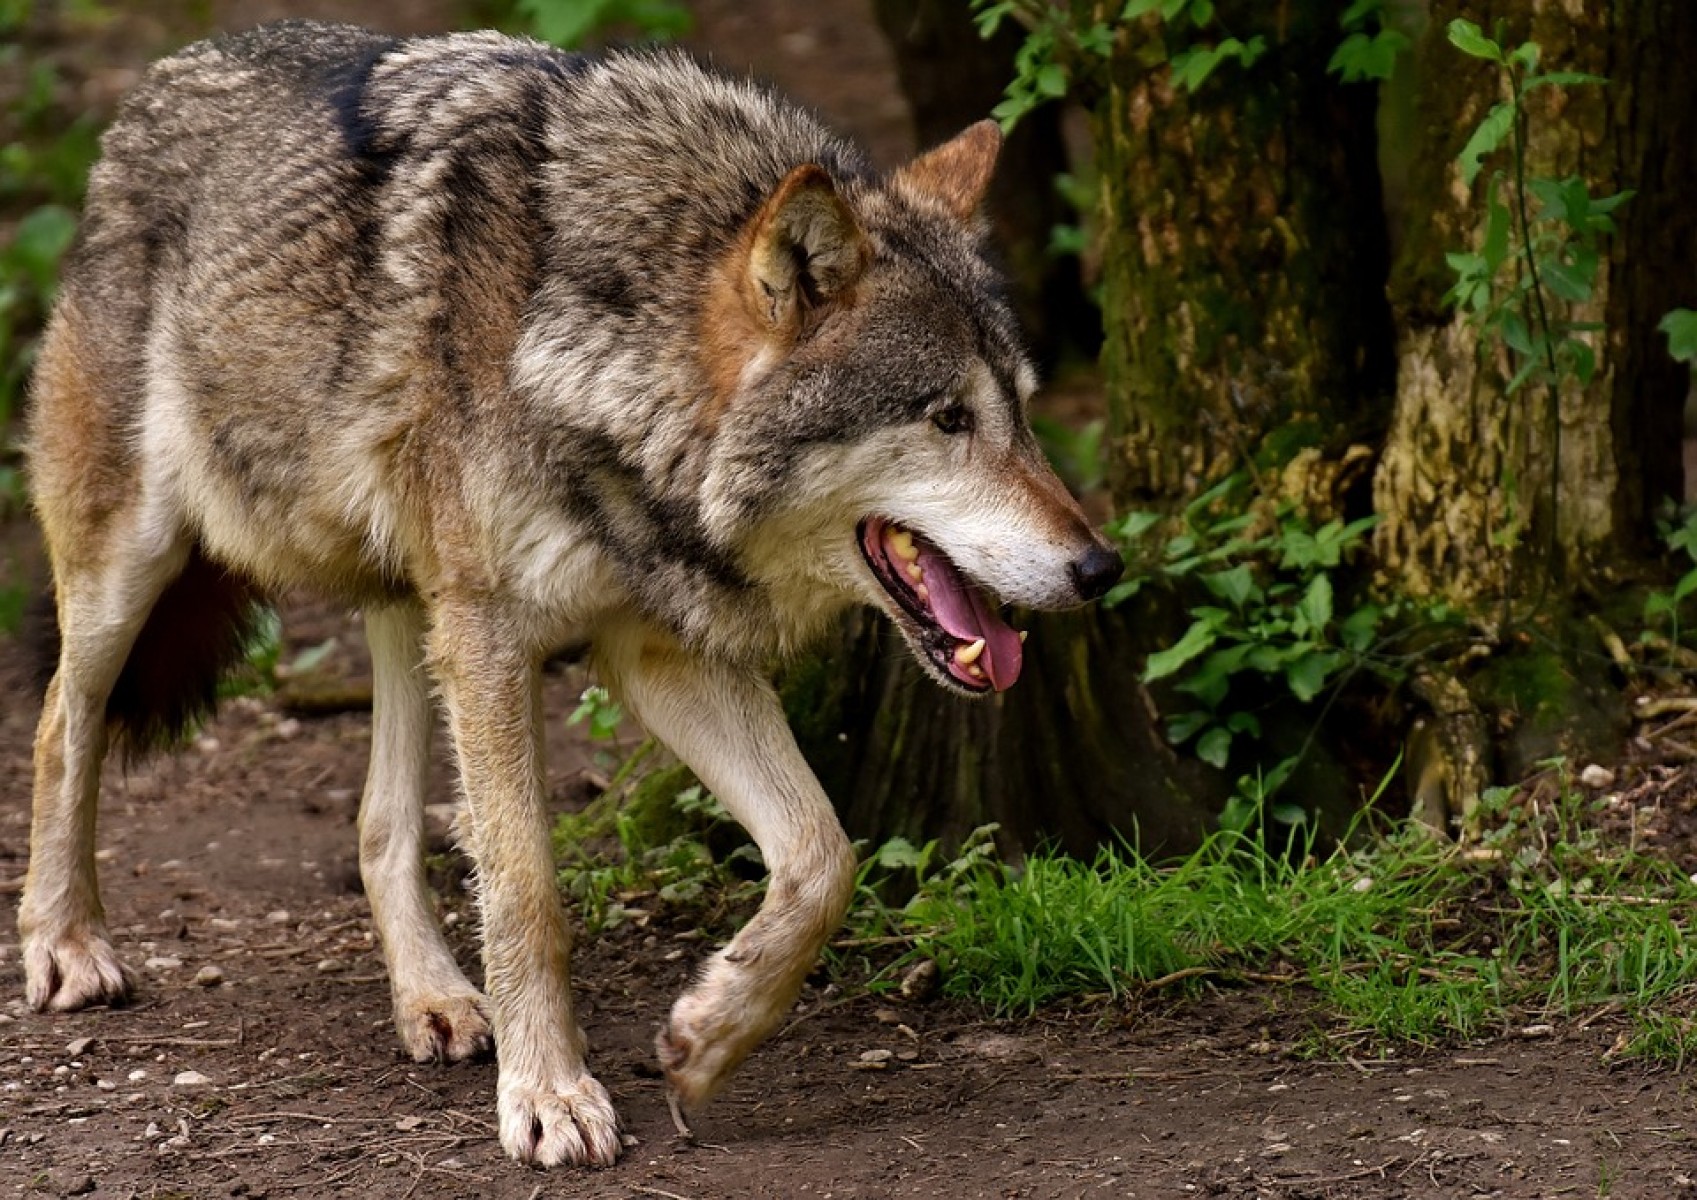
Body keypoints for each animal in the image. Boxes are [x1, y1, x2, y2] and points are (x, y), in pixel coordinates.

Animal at [19, 23, 1126, 1167]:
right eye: (947, 418)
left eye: (1024, 413)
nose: (1100, 568)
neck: (602, 355)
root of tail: (162, 76)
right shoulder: (497, 637)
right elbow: (527, 890)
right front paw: (548, 1094)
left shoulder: (655, 652)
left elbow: (824, 856)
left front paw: (709, 1037)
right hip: (138, 564)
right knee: (62, 724)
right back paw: (65, 946)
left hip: (412, 605)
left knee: (379, 822)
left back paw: (435, 1001)